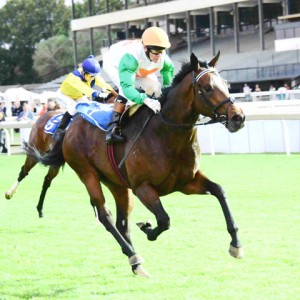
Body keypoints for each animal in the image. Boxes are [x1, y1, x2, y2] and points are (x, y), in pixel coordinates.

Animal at [24, 51, 246, 276]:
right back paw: (134, 257)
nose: (238, 117)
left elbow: (219, 191)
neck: (166, 134)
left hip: (117, 184)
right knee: (105, 216)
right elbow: (164, 220)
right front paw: (147, 229)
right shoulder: (143, 188)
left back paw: (133, 258)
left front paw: (236, 244)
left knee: (121, 223)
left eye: (226, 84)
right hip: (87, 174)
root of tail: (71, 125)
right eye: (207, 87)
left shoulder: (186, 182)